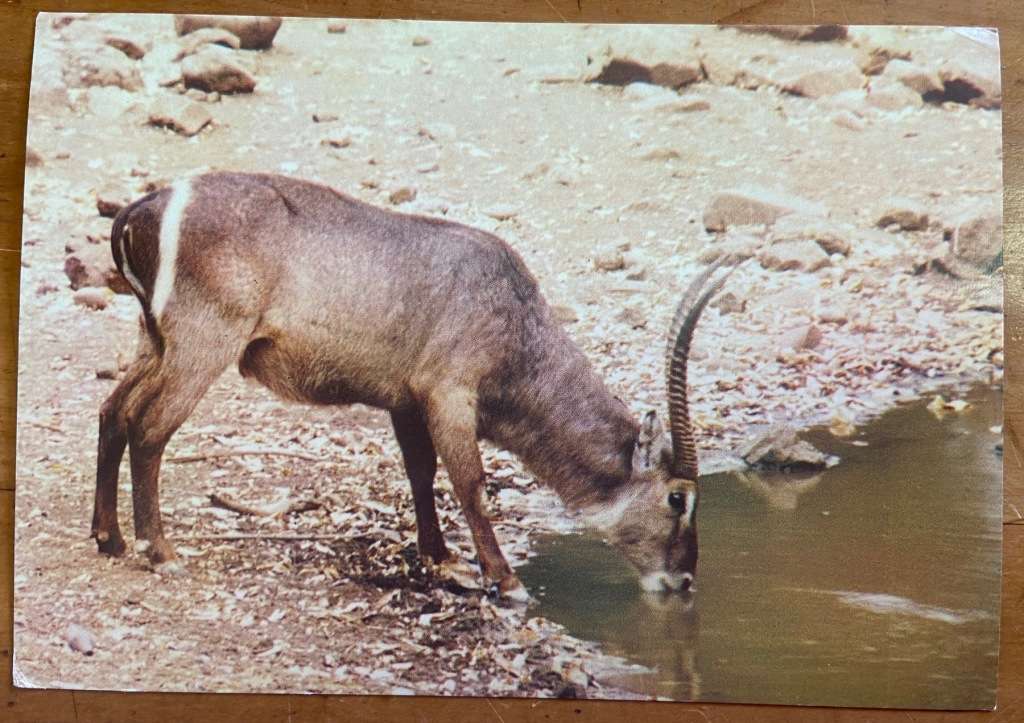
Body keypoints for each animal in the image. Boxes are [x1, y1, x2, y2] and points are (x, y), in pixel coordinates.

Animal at [91, 171, 733, 600]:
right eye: (678, 497)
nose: (683, 581)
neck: (517, 322)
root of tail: (147, 205)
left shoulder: (404, 401)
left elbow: (420, 473)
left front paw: (440, 558)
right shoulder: (449, 394)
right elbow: (471, 483)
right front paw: (504, 578)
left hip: (156, 341)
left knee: (112, 412)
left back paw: (110, 538)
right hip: (202, 344)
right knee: (149, 428)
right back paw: (159, 552)